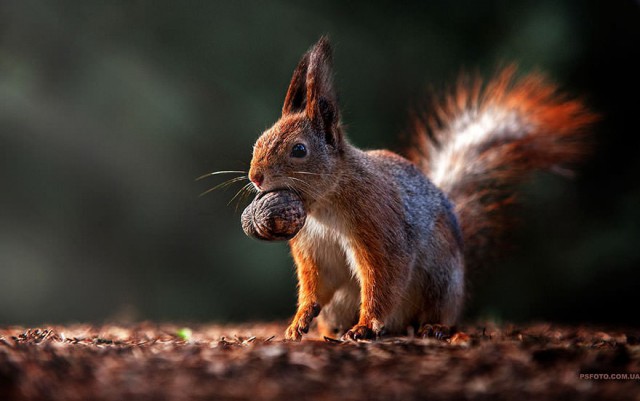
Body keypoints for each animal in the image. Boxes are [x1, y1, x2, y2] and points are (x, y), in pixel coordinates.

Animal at [246, 36, 596, 340]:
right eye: (258, 141)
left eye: (299, 150)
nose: (255, 177)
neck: (324, 205)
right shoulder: (313, 248)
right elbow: (317, 285)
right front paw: (299, 320)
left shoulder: (380, 226)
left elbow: (383, 278)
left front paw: (365, 326)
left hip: (440, 278)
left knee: (438, 314)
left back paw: (433, 328)